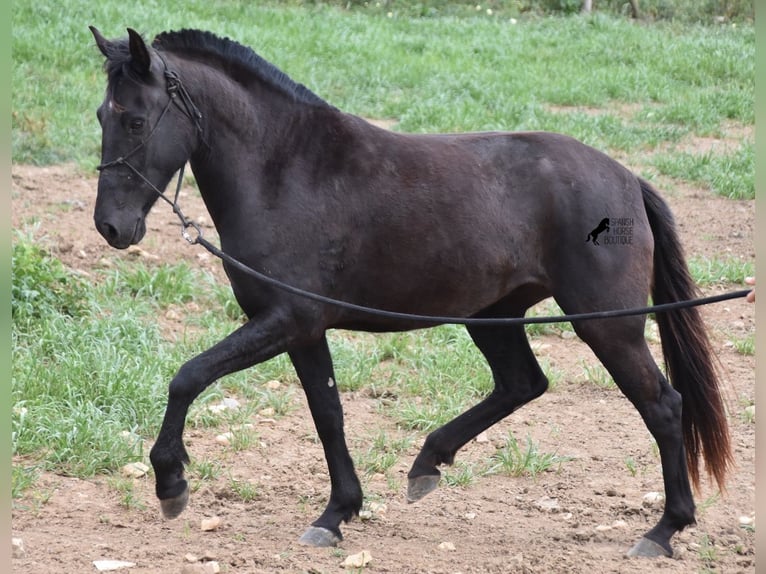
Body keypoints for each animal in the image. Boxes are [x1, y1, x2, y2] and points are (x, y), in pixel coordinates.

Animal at [88, 27, 732, 560]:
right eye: (100, 114)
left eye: (136, 120)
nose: (112, 228)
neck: (283, 171)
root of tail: (626, 179)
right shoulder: (303, 330)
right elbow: (328, 415)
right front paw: (337, 514)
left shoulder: (285, 319)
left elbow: (188, 377)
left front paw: (171, 483)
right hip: (493, 316)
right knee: (522, 384)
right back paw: (428, 463)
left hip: (607, 323)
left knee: (662, 406)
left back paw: (664, 530)